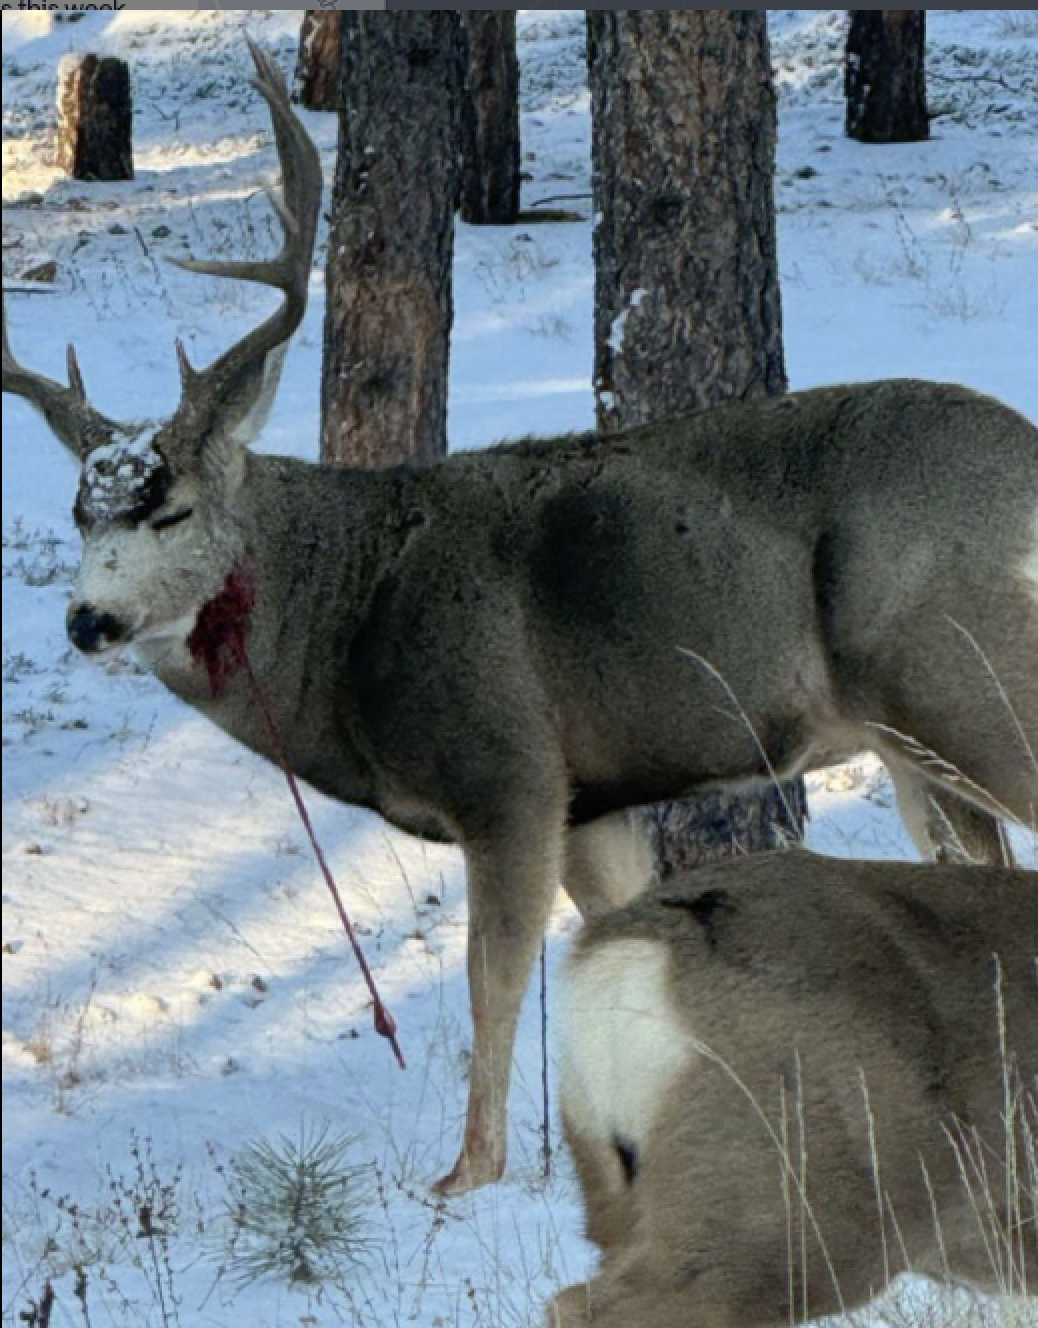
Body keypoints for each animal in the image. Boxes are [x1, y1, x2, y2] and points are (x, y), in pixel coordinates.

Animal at [2, 44, 1037, 1195]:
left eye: (170, 508)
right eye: (81, 512)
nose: (88, 620)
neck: (351, 614)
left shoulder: (509, 771)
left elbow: (493, 980)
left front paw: (466, 1177)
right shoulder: (592, 799)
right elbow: (618, 945)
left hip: (970, 678)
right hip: (916, 742)